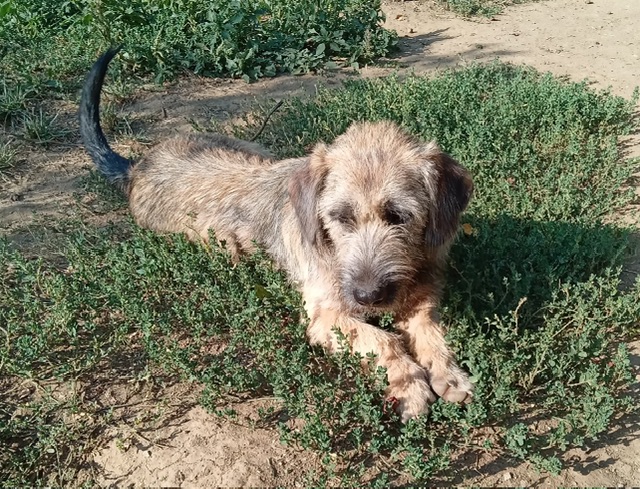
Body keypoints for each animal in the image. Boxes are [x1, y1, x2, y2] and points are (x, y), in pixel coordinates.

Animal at [80, 48, 475, 422]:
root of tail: (136, 167)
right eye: (340, 217)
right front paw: (409, 385)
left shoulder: (422, 291)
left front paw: (448, 372)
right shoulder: (325, 316)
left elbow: (428, 328)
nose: (368, 295)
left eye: (398, 216)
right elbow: (384, 340)